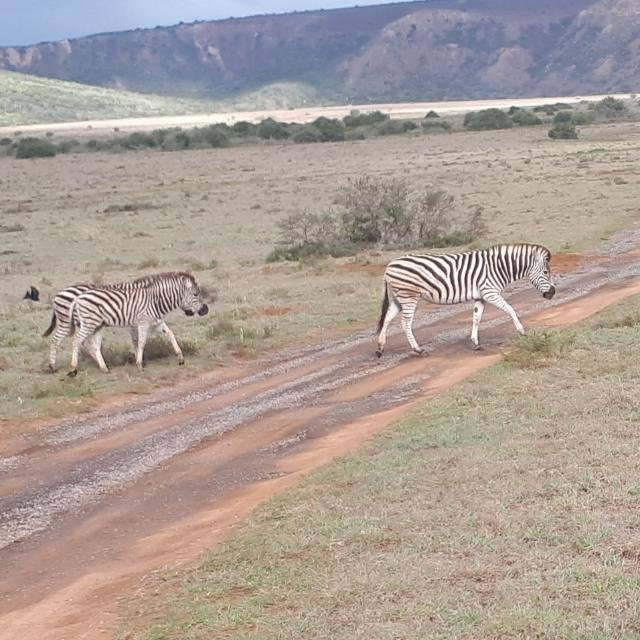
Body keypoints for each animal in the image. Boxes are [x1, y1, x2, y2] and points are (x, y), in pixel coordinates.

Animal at [67, 272, 208, 376]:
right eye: (196, 294)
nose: (205, 310)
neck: (155, 301)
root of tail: (78, 297)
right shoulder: (143, 323)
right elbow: (141, 342)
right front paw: (140, 365)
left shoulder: (157, 322)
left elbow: (170, 334)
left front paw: (180, 358)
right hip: (89, 323)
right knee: (76, 340)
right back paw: (73, 369)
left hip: (98, 325)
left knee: (94, 345)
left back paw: (104, 368)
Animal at [376, 244, 556, 358]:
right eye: (546, 272)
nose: (552, 293)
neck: (499, 267)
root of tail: (389, 266)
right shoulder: (490, 292)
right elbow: (511, 309)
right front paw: (522, 331)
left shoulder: (481, 296)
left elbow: (476, 318)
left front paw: (475, 343)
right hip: (409, 295)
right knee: (405, 323)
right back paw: (418, 349)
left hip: (398, 297)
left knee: (387, 319)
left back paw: (380, 348)